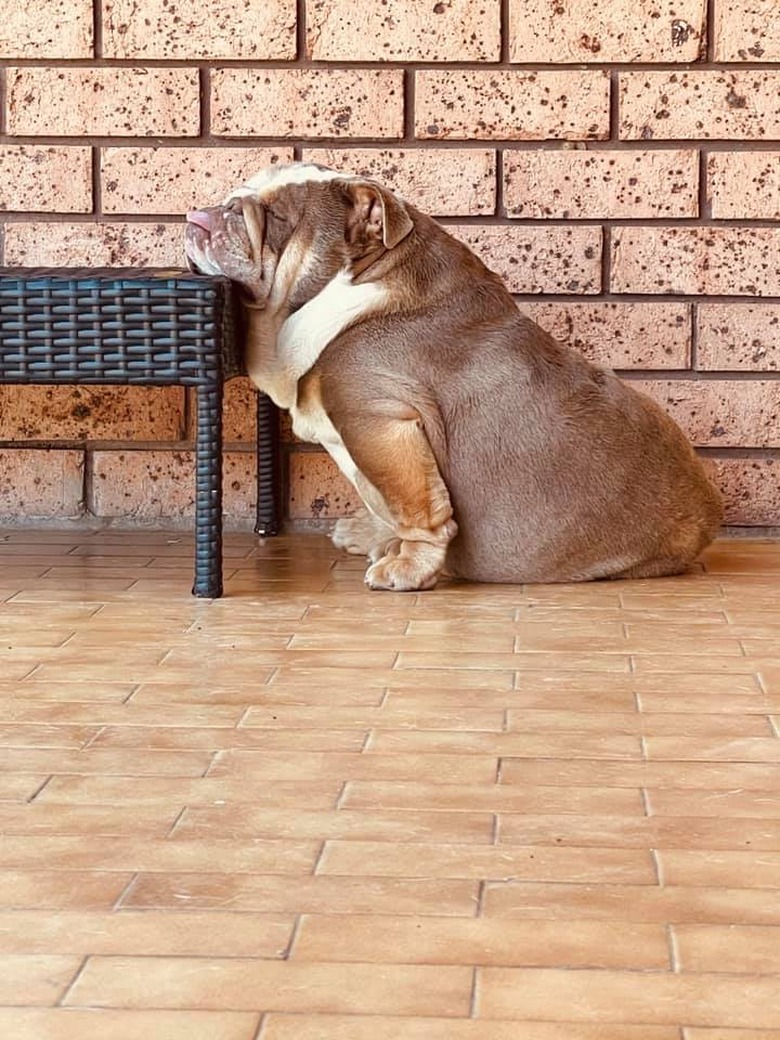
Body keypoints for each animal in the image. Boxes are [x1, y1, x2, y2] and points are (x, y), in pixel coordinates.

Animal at [186, 158, 723, 590]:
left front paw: (408, 568)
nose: (201, 214)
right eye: (236, 195)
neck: (353, 282)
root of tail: (708, 516)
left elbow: (416, 507)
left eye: (277, 217)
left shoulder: (376, 419)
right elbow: (388, 502)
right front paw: (378, 537)